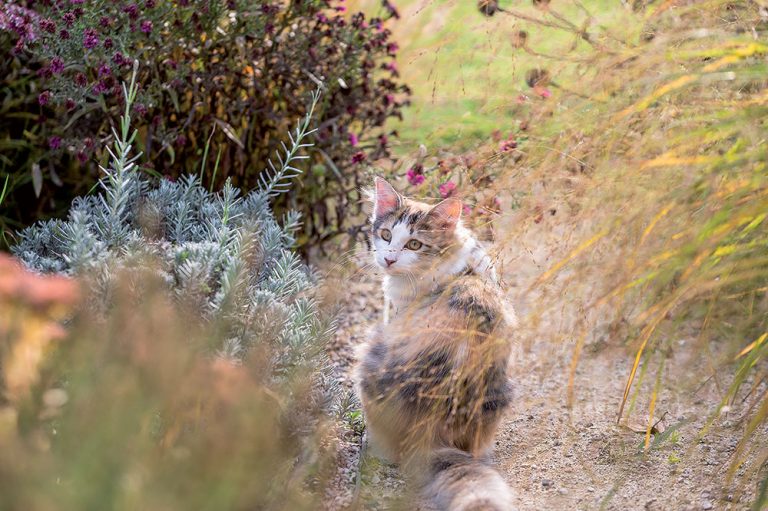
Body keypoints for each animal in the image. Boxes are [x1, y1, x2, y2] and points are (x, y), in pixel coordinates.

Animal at [354, 178, 516, 510]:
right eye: (386, 235)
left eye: (414, 245)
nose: (389, 259)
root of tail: (432, 431)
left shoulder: (394, 314)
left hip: (370, 355)